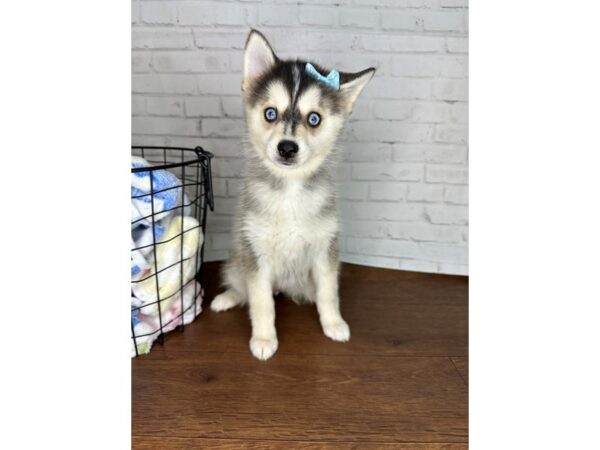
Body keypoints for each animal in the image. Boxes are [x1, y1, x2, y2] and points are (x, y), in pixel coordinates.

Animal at [211, 29, 376, 360]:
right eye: (270, 113)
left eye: (314, 119)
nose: (287, 147)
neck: (290, 191)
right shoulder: (256, 253)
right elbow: (261, 301)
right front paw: (263, 339)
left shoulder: (325, 251)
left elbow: (328, 293)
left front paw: (333, 323)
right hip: (239, 258)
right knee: (241, 284)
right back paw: (228, 297)